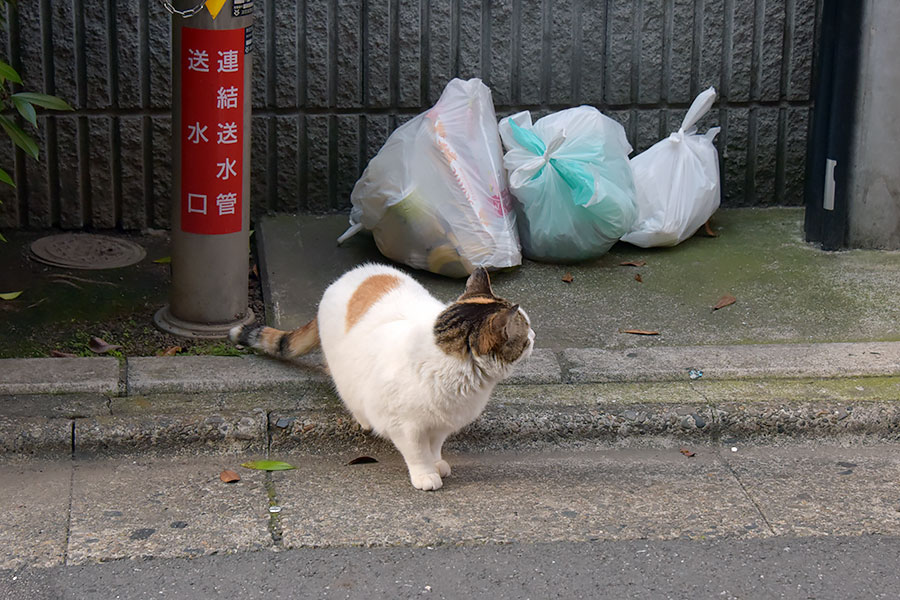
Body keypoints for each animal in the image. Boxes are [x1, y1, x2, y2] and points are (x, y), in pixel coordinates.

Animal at [229, 264, 536, 490]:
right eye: (526, 333)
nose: (535, 335)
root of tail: (348, 274)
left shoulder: (441, 424)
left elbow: (434, 446)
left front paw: (436, 463)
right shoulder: (404, 425)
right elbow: (417, 452)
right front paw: (426, 474)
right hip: (345, 373)